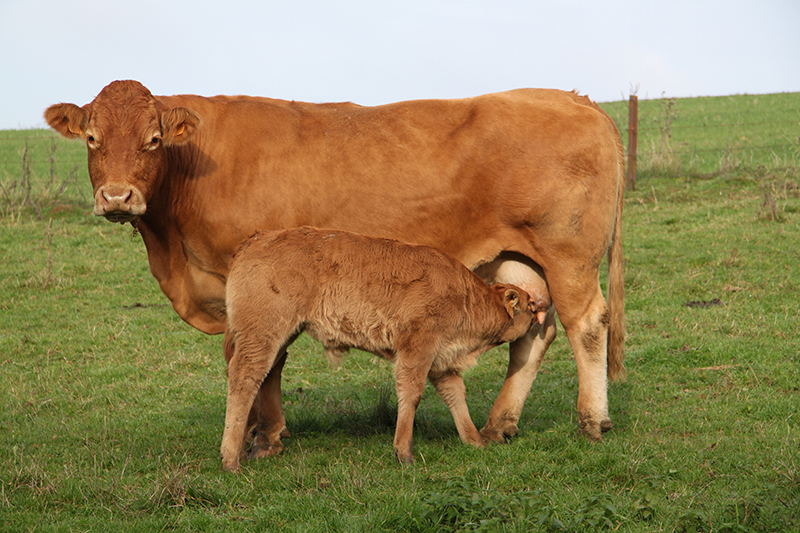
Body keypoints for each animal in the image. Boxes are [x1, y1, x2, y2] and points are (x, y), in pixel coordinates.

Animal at [222, 224, 540, 470]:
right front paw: (404, 452)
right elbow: (411, 393)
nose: (540, 315)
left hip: (281, 334)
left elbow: (455, 396)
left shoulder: (442, 361)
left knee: (267, 372)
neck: (467, 298)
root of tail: (257, 238)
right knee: (245, 376)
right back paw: (231, 460)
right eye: (529, 305)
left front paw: (475, 441)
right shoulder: (417, 349)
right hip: (262, 332)